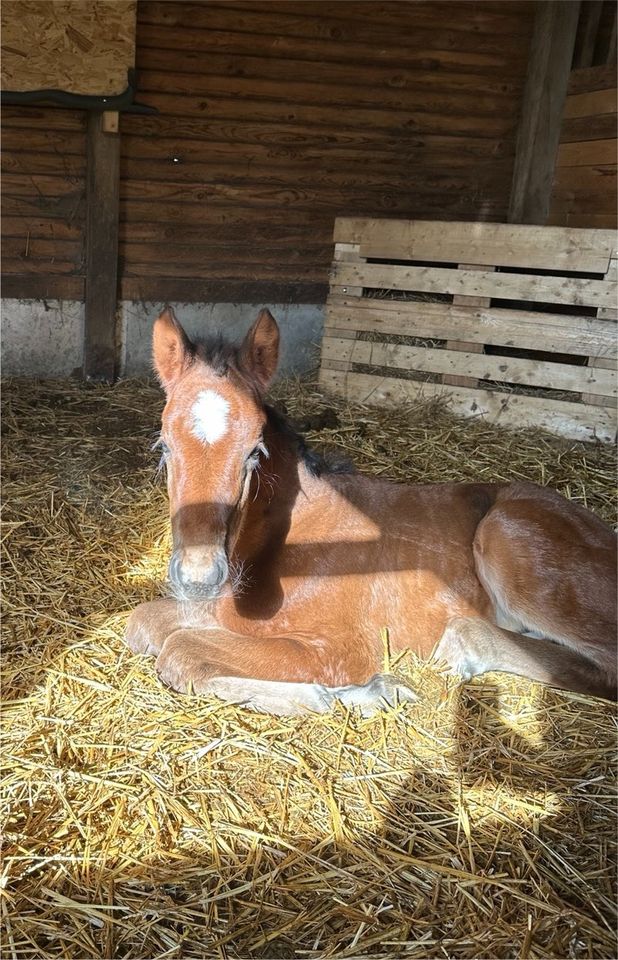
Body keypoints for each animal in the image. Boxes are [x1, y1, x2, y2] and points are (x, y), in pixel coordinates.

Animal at [122, 308, 612, 712]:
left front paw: (353, 693)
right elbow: (144, 624)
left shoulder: (341, 647)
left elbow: (181, 651)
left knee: (604, 666)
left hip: (507, 534)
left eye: (254, 453)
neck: (290, 538)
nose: (199, 577)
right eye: (163, 447)